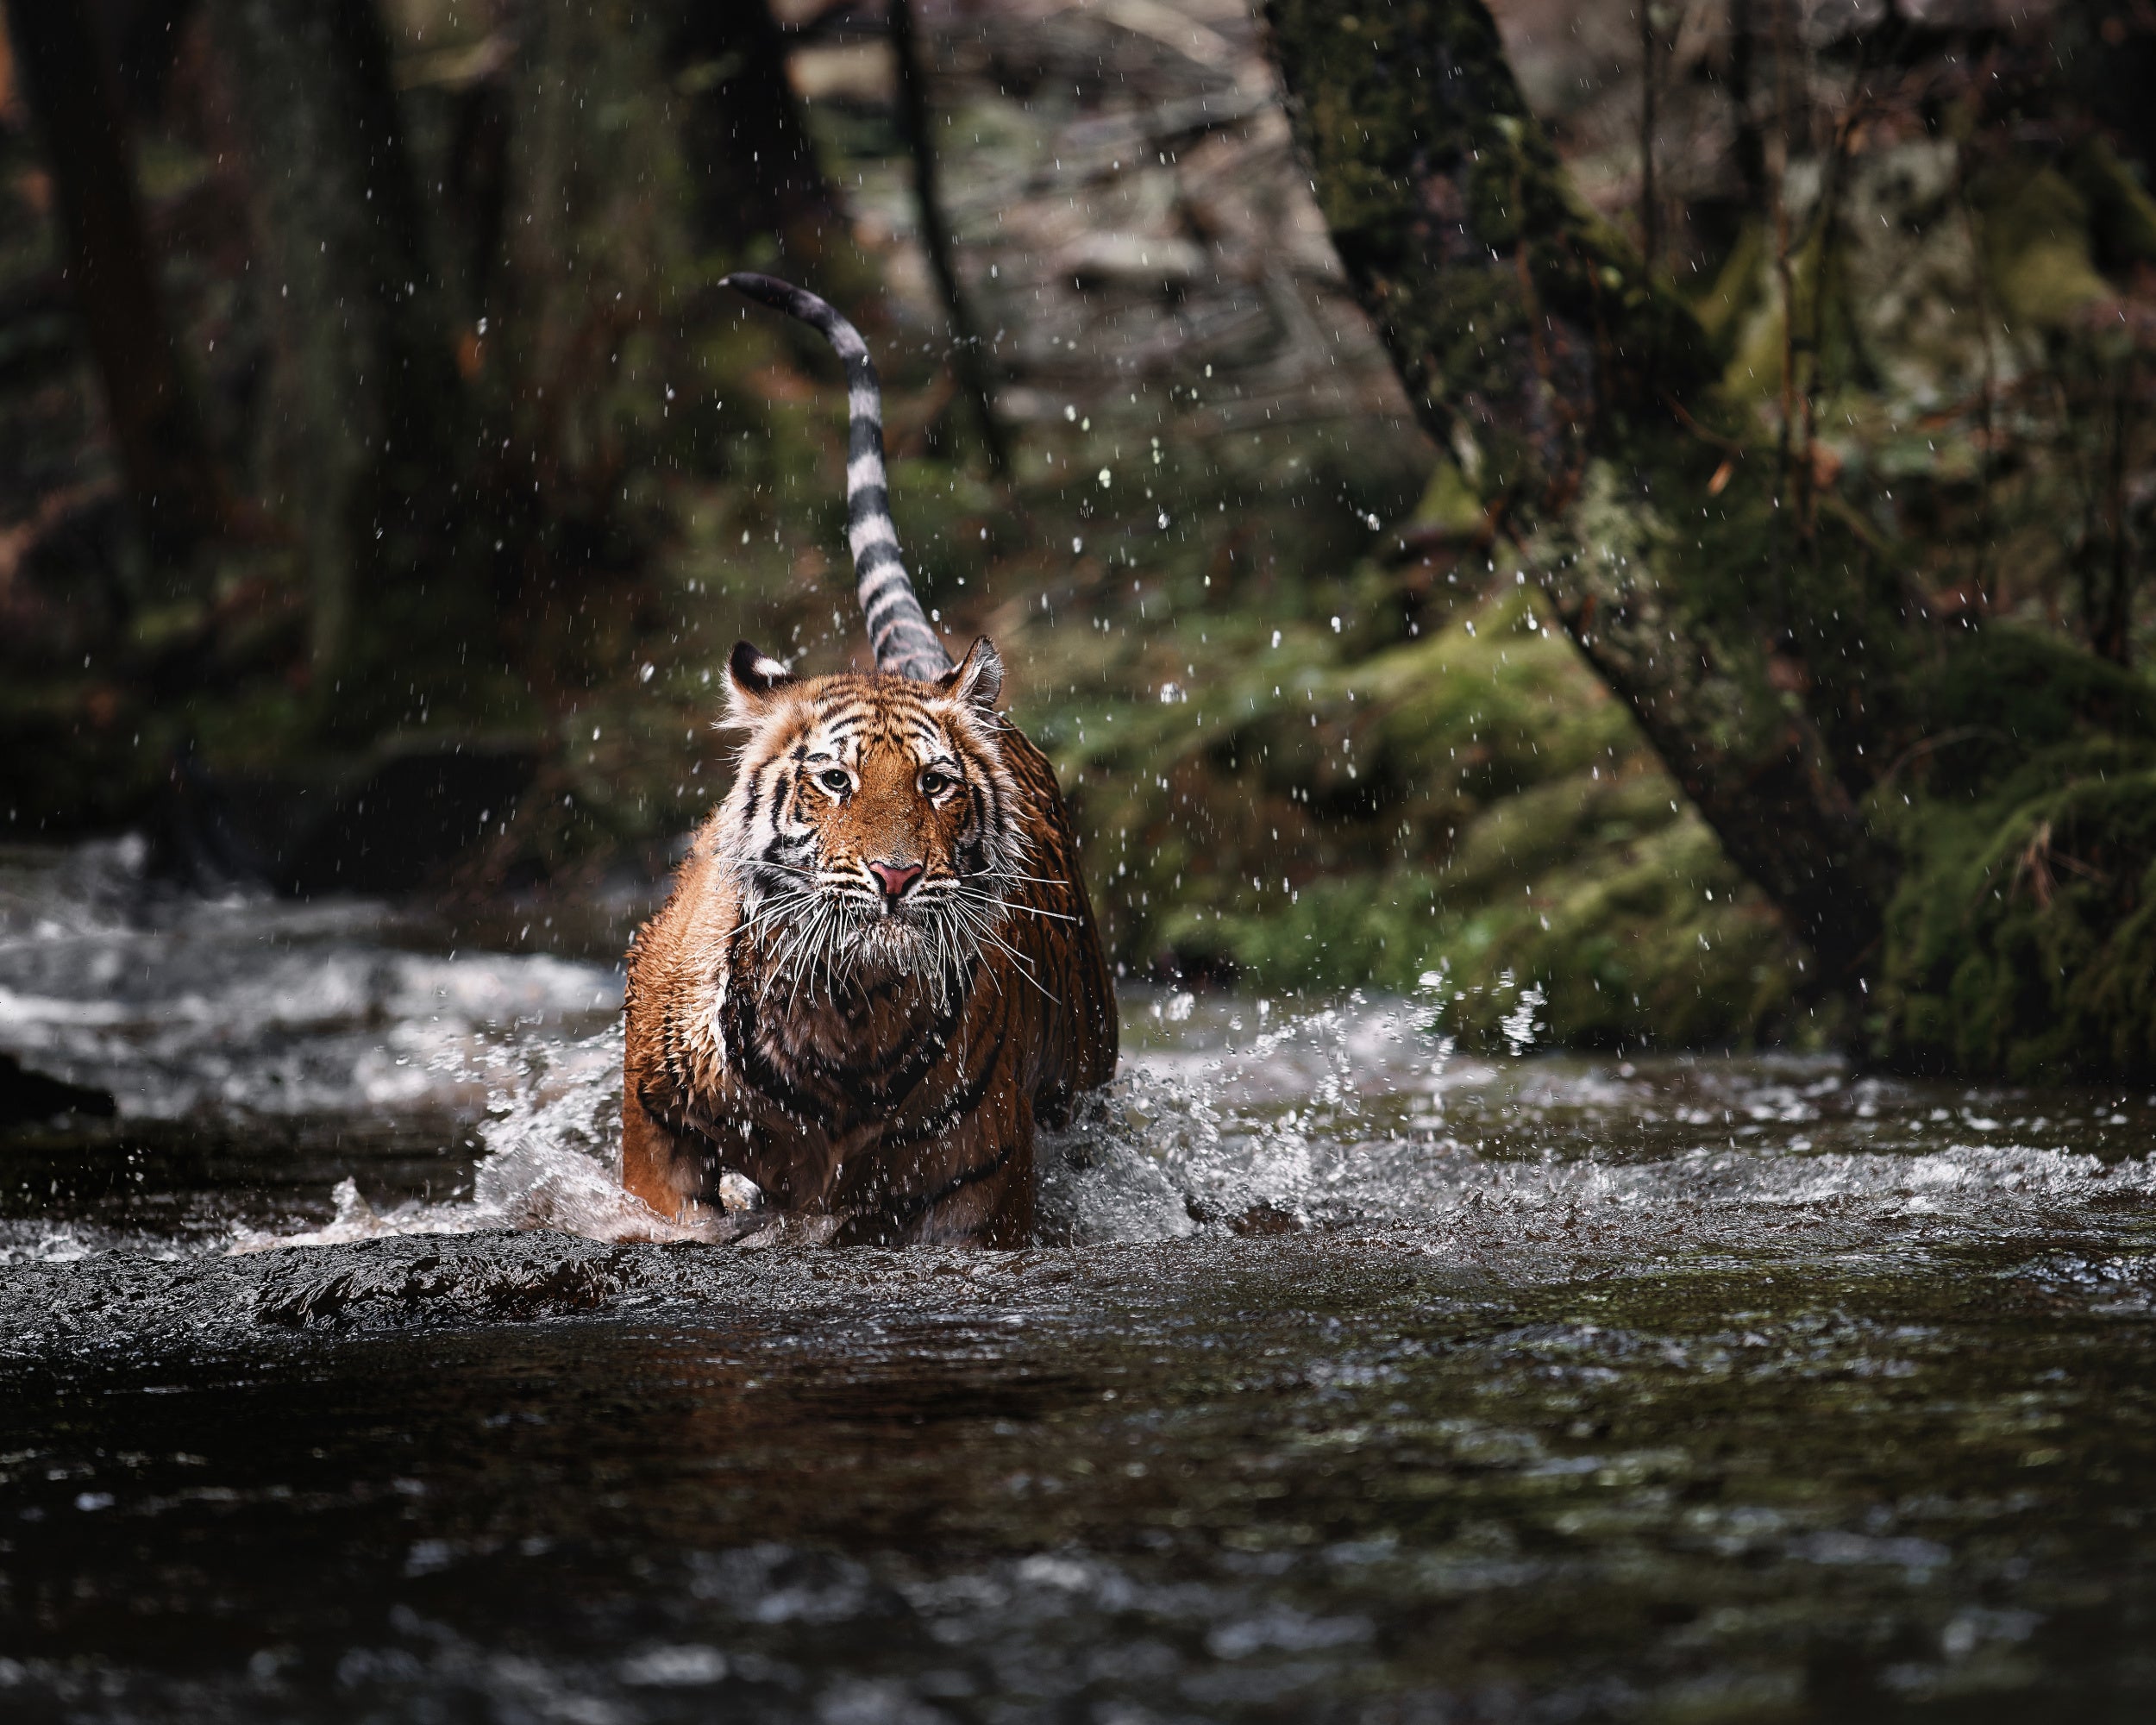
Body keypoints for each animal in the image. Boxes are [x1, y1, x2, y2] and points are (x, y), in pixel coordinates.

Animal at [621, 269, 1112, 1251]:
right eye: (834, 779)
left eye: (935, 783)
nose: (894, 875)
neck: (847, 1018)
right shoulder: (656, 1125)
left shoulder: (976, 1188)